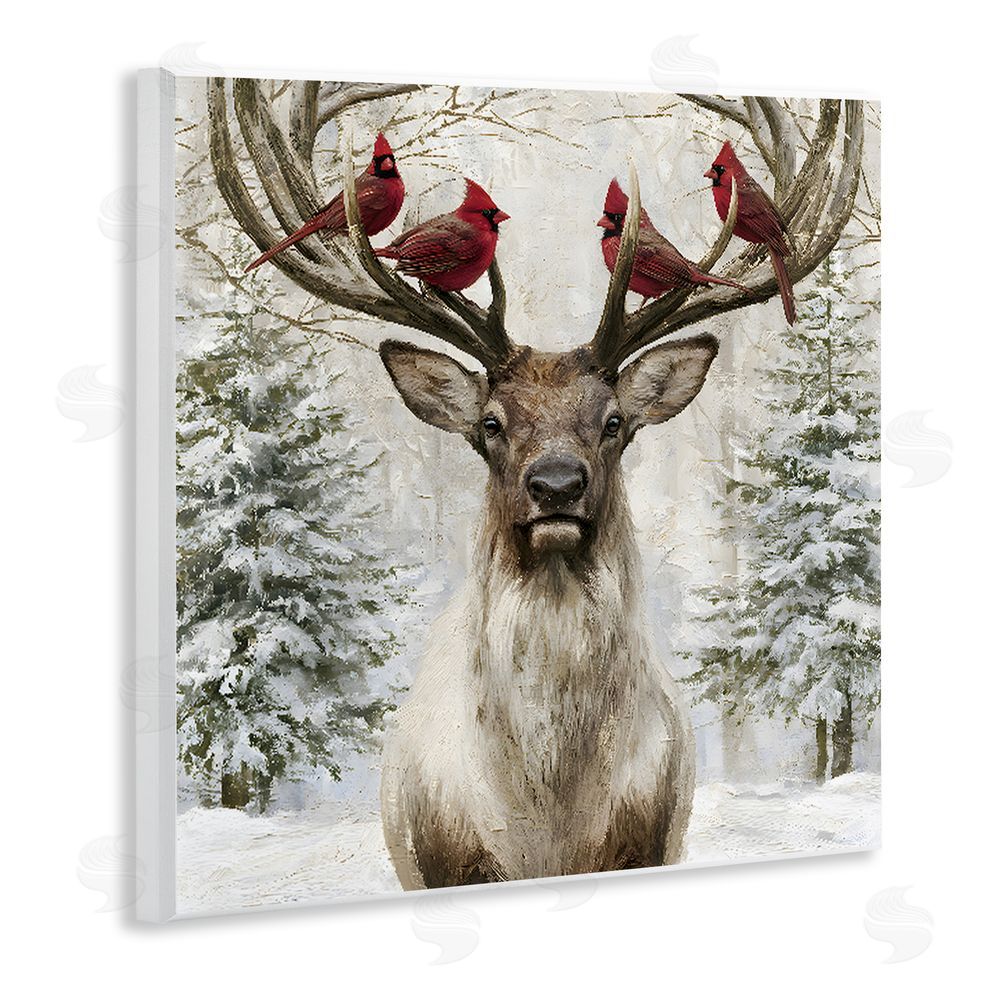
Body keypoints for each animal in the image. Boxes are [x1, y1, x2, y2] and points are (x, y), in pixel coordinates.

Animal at [208, 79, 864, 887]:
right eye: (490, 423)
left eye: (614, 421)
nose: (556, 484)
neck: (547, 821)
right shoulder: (443, 860)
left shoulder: (648, 844)